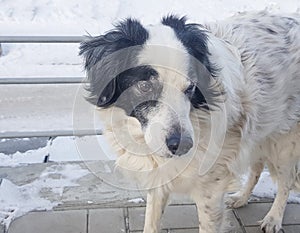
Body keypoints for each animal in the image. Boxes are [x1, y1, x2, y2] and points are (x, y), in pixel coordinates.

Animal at [79, 11, 300, 233]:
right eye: (144, 86)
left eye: (191, 87)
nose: (183, 145)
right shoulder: (159, 177)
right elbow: (151, 221)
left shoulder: (211, 189)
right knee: (257, 167)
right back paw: (241, 198)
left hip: (285, 145)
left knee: (285, 182)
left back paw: (273, 218)